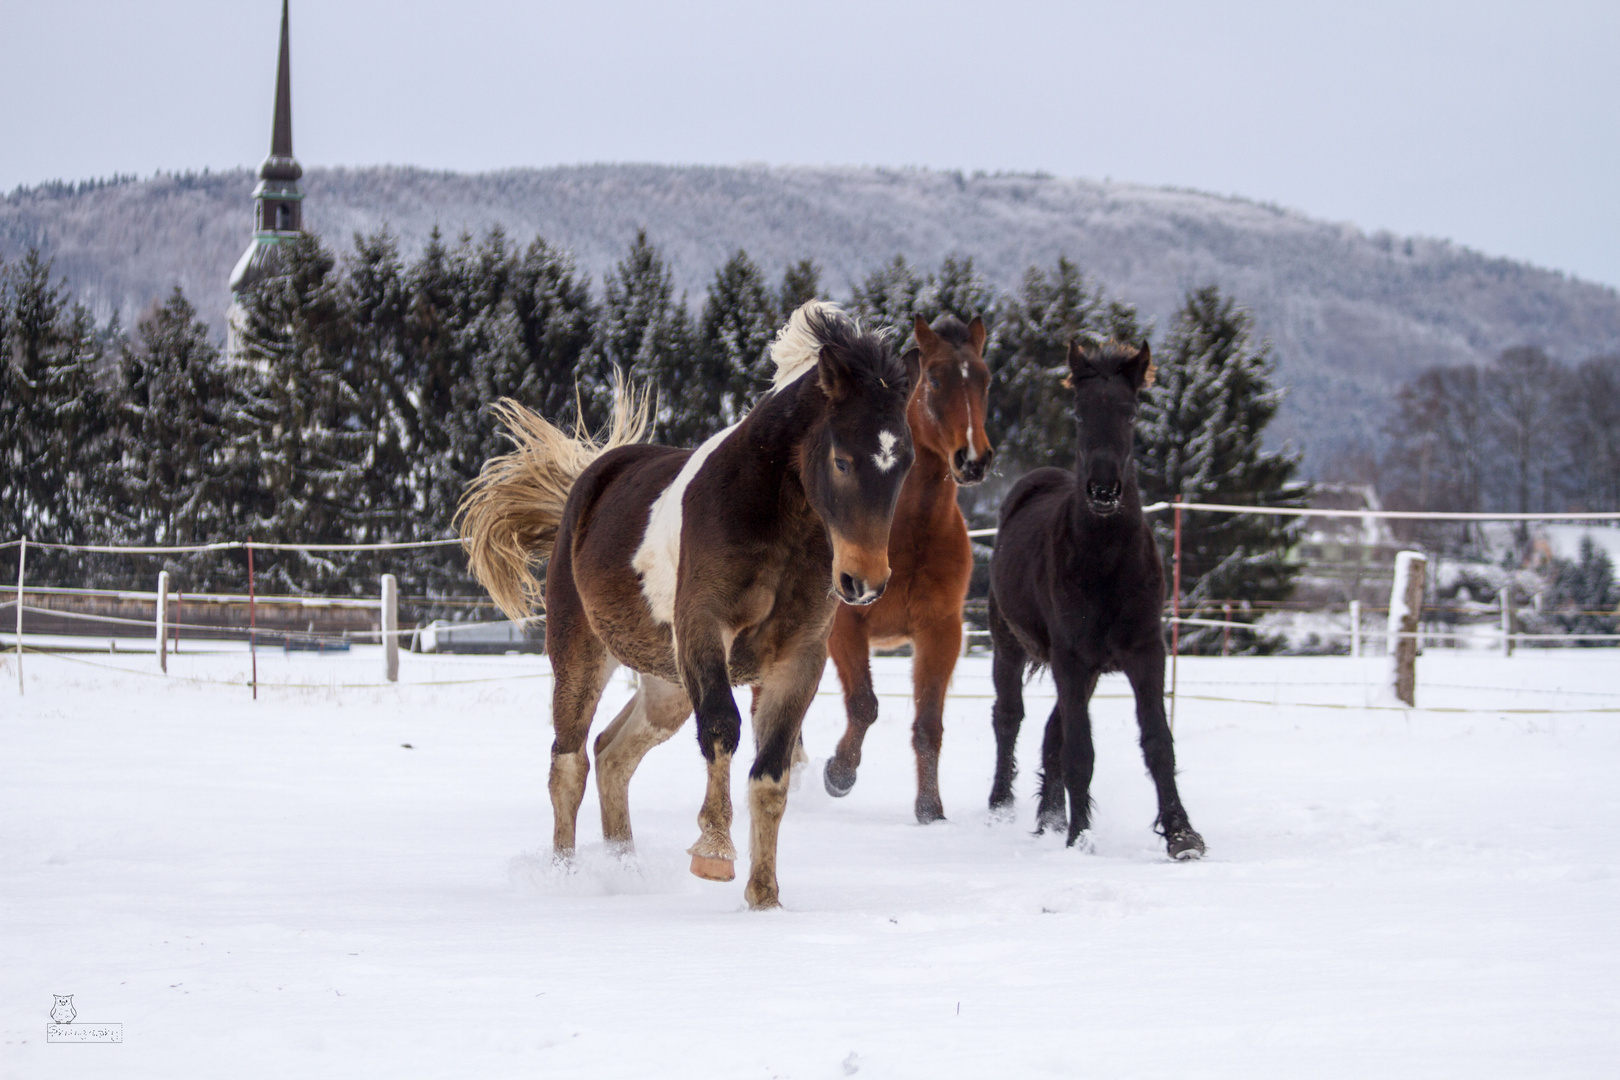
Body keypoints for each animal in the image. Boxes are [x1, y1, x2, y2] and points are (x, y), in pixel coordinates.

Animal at [460, 304, 913, 913]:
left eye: (903, 462)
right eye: (842, 460)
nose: (864, 582)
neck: (777, 520)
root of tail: (587, 484)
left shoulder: (799, 659)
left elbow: (771, 775)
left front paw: (764, 898)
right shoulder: (705, 630)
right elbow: (722, 728)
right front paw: (715, 851)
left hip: (666, 686)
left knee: (612, 755)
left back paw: (625, 870)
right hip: (581, 656)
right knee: (569, 763)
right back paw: (566, 878)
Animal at [822, 312, 984, 819]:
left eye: (986, 379)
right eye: (934, 379)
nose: (973, 459)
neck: (910, 533)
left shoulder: (940, 631)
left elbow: (929, 724)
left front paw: (930, 809)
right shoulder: (846, 627)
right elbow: (864, 704)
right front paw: (839, 774)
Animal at [984, 338, 1205, 861]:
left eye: (1131, 411)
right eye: (1080, 413)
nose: (1104, 490)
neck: (1105, 562)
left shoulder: (1145, 653)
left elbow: (1157, 741)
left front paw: (1182, 834)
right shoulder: (1071, 658)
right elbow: (1080, 751)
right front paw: (1080, 838)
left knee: (1051, 731)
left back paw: (1049, 817)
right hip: (1010, 645)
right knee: (1009, 718)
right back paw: (1002, 808)